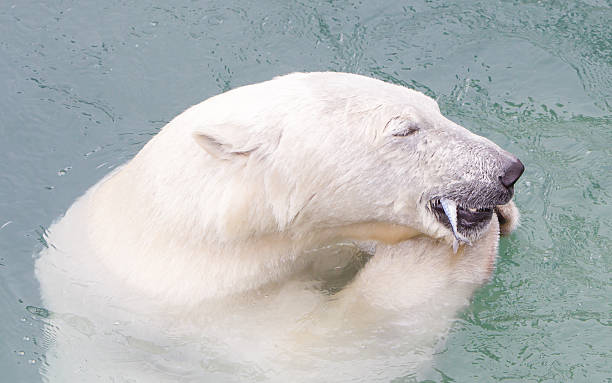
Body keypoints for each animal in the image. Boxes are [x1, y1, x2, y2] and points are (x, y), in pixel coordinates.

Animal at [35, 72, 520, 380]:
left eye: (434, 109)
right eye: (404, 130)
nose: (509, 171)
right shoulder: (203, 323)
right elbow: (323, 356)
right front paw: (445, 251)